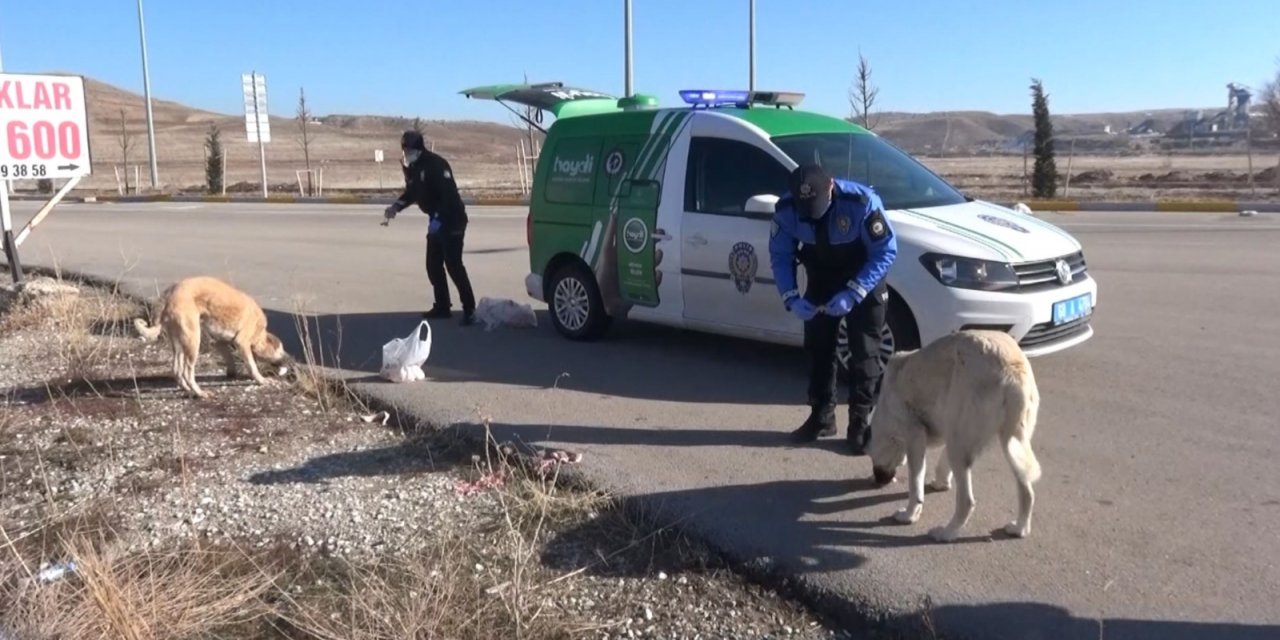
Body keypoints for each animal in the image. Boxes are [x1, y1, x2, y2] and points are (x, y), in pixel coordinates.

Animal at [133, 276, 291, 396]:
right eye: (281, 350)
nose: (290, 361)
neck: (260, 332)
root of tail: (168, 294)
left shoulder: (219, 342)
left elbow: (230, 359)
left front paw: (232, 373)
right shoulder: (242, 342)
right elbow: (252, 365)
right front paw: (261, 380)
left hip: (179, 343)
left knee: (177, 369)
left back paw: (186, 389)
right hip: (193, 340)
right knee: (187, 372)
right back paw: (199, 393)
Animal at [865, 327, 1044, 542]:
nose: (878, 478)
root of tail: (1012, 369)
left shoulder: (915, 435)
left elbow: (915, 486)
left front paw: (910, 515)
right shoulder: (952, 434)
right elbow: (942, 463)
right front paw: (941, 483)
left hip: (963, 446)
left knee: (967, 502)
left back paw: (946, 533)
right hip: (1009, 444)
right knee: (1027, 492)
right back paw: (1020, 528)